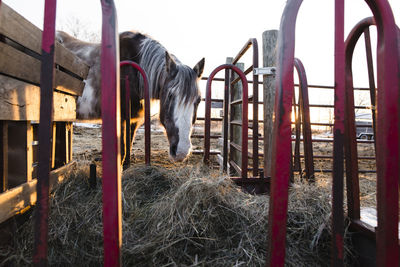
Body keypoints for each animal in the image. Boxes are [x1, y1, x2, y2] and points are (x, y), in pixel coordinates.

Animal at [56, 30, 205, 162]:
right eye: (170, 95)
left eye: (198, 100)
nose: (181, 152)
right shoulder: (121, 118)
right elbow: (122, 151)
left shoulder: (132, 120)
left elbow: (128, 146)